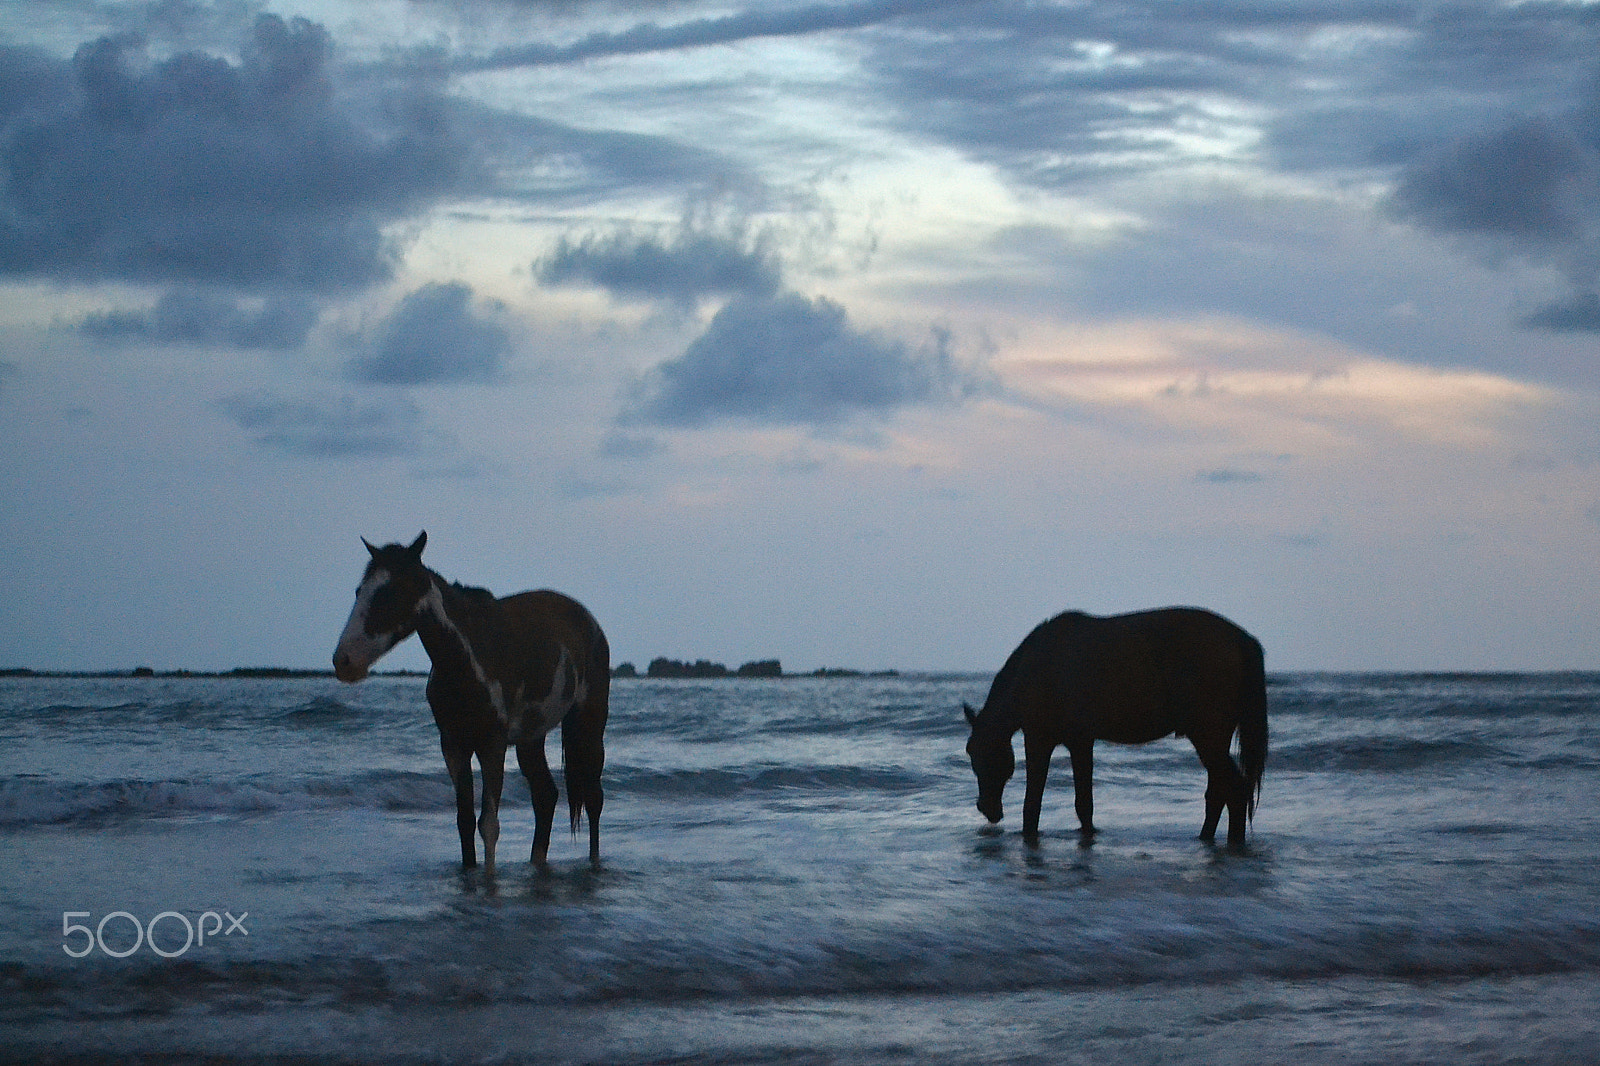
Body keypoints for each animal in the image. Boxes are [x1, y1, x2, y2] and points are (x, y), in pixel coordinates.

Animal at [332, 532, 609, 869]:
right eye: (360, 590)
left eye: (391, 592)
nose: (344, 661)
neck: (467, 657)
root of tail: (590, 623)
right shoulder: (453, 746)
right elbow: (464, 822)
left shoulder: (492, 745)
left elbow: (488, 824)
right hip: (531, 737)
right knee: (545, 796)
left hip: (589, 726)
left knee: (593, 799)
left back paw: (594, 862)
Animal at [963, 607, 1266, 848]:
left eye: (974, 753)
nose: (987, 809)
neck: (1037, 668)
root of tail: (1241, 640)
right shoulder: (1080, 742)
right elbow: (1084, 804)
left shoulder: (1039, 740)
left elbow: (1032, 804)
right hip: (1214, 740)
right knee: (1219, 793)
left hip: (1208, 738)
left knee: (1234, 791)